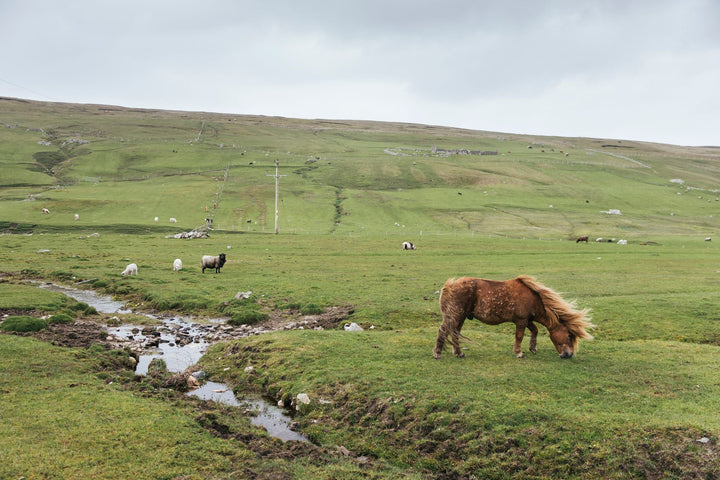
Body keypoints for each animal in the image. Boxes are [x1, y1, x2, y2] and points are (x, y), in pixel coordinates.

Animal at [434, 276, 596, 358]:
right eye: (569, 335)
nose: (568, 355)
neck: (533, 299)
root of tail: (449, 286)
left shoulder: (528, 319)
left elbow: (535, 330)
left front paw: (533, 348)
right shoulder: (521, 320)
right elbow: (519, 336)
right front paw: (519, 353)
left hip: (460, 318)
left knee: (454, 333)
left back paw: (458, 353)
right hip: (455, 316)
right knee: (443, 331)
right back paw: (438, 353)